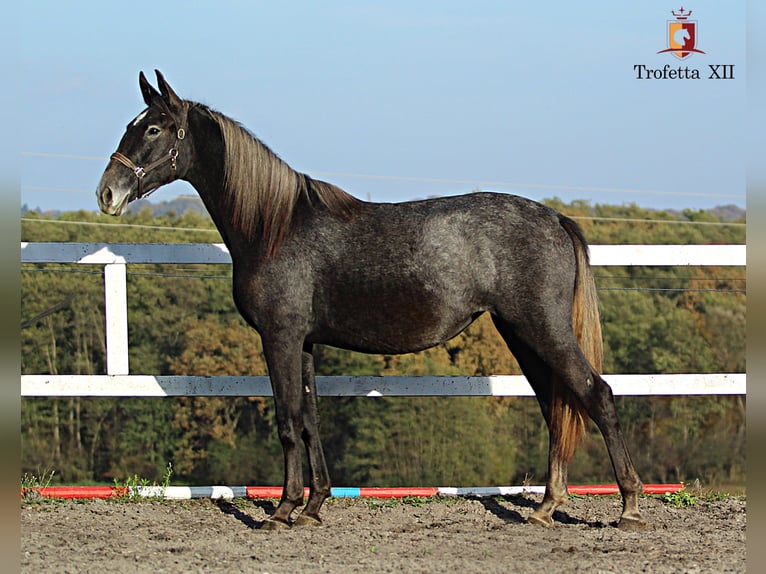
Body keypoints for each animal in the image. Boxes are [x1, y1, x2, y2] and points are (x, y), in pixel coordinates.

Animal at [96, 71, 648, 532]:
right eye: (131, 125)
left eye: (154, 129)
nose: (107, 192)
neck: (275, 226)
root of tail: (556, 218)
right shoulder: (303, 343)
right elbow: (310, 420)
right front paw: (313, 506)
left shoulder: (279, 337)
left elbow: (287, 420)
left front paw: (281, 510)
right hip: (522, 335)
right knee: (556, 407)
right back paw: (546, 507)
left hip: (543, 329)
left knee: (596, 395)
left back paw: (629, 507)